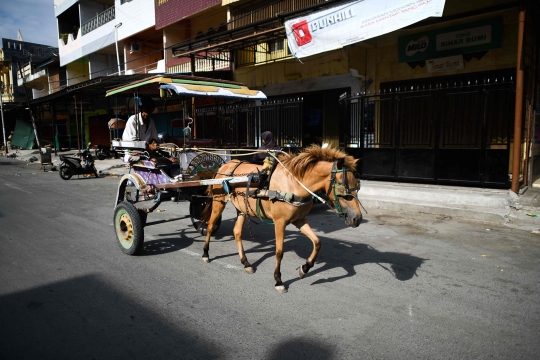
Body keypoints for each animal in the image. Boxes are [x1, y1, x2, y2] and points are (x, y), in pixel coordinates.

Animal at [198, 144, 362, 292]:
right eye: (343, 189)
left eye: (358, 186)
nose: (357, 219)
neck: (294, 184)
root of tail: (226, 166)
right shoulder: (279, 222)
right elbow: (279, 252)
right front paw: (278, 280)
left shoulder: (299, 220)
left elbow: (317, 242)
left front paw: (305, 268)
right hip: (218, 202)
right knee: (211, 226)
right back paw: (205, 254)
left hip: (242, 209)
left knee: (237, 232)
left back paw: (246, 263)